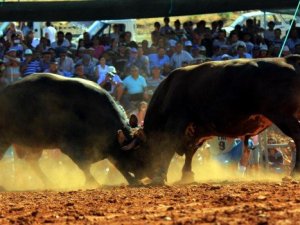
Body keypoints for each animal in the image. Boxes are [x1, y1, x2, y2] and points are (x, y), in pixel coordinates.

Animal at [0, 74, 145, 186]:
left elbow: (117, 164)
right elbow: (85, 166)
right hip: (5, 140)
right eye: (134, 154)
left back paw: (49, 183)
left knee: (32, 161)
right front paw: (93, 183)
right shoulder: (70, 147)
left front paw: (133, 181)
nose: (143, 174)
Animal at [133, 55, 300, 184]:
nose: (139, 175)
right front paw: (187, 174)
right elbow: (190, 152)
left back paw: (295, 172)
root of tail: (288, 60)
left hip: (282, 116)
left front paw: (160, 176)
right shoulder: (197, 131)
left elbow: (168, 147)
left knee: (297, 137)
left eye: (137, 150)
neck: (168, 91)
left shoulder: (177, 122)